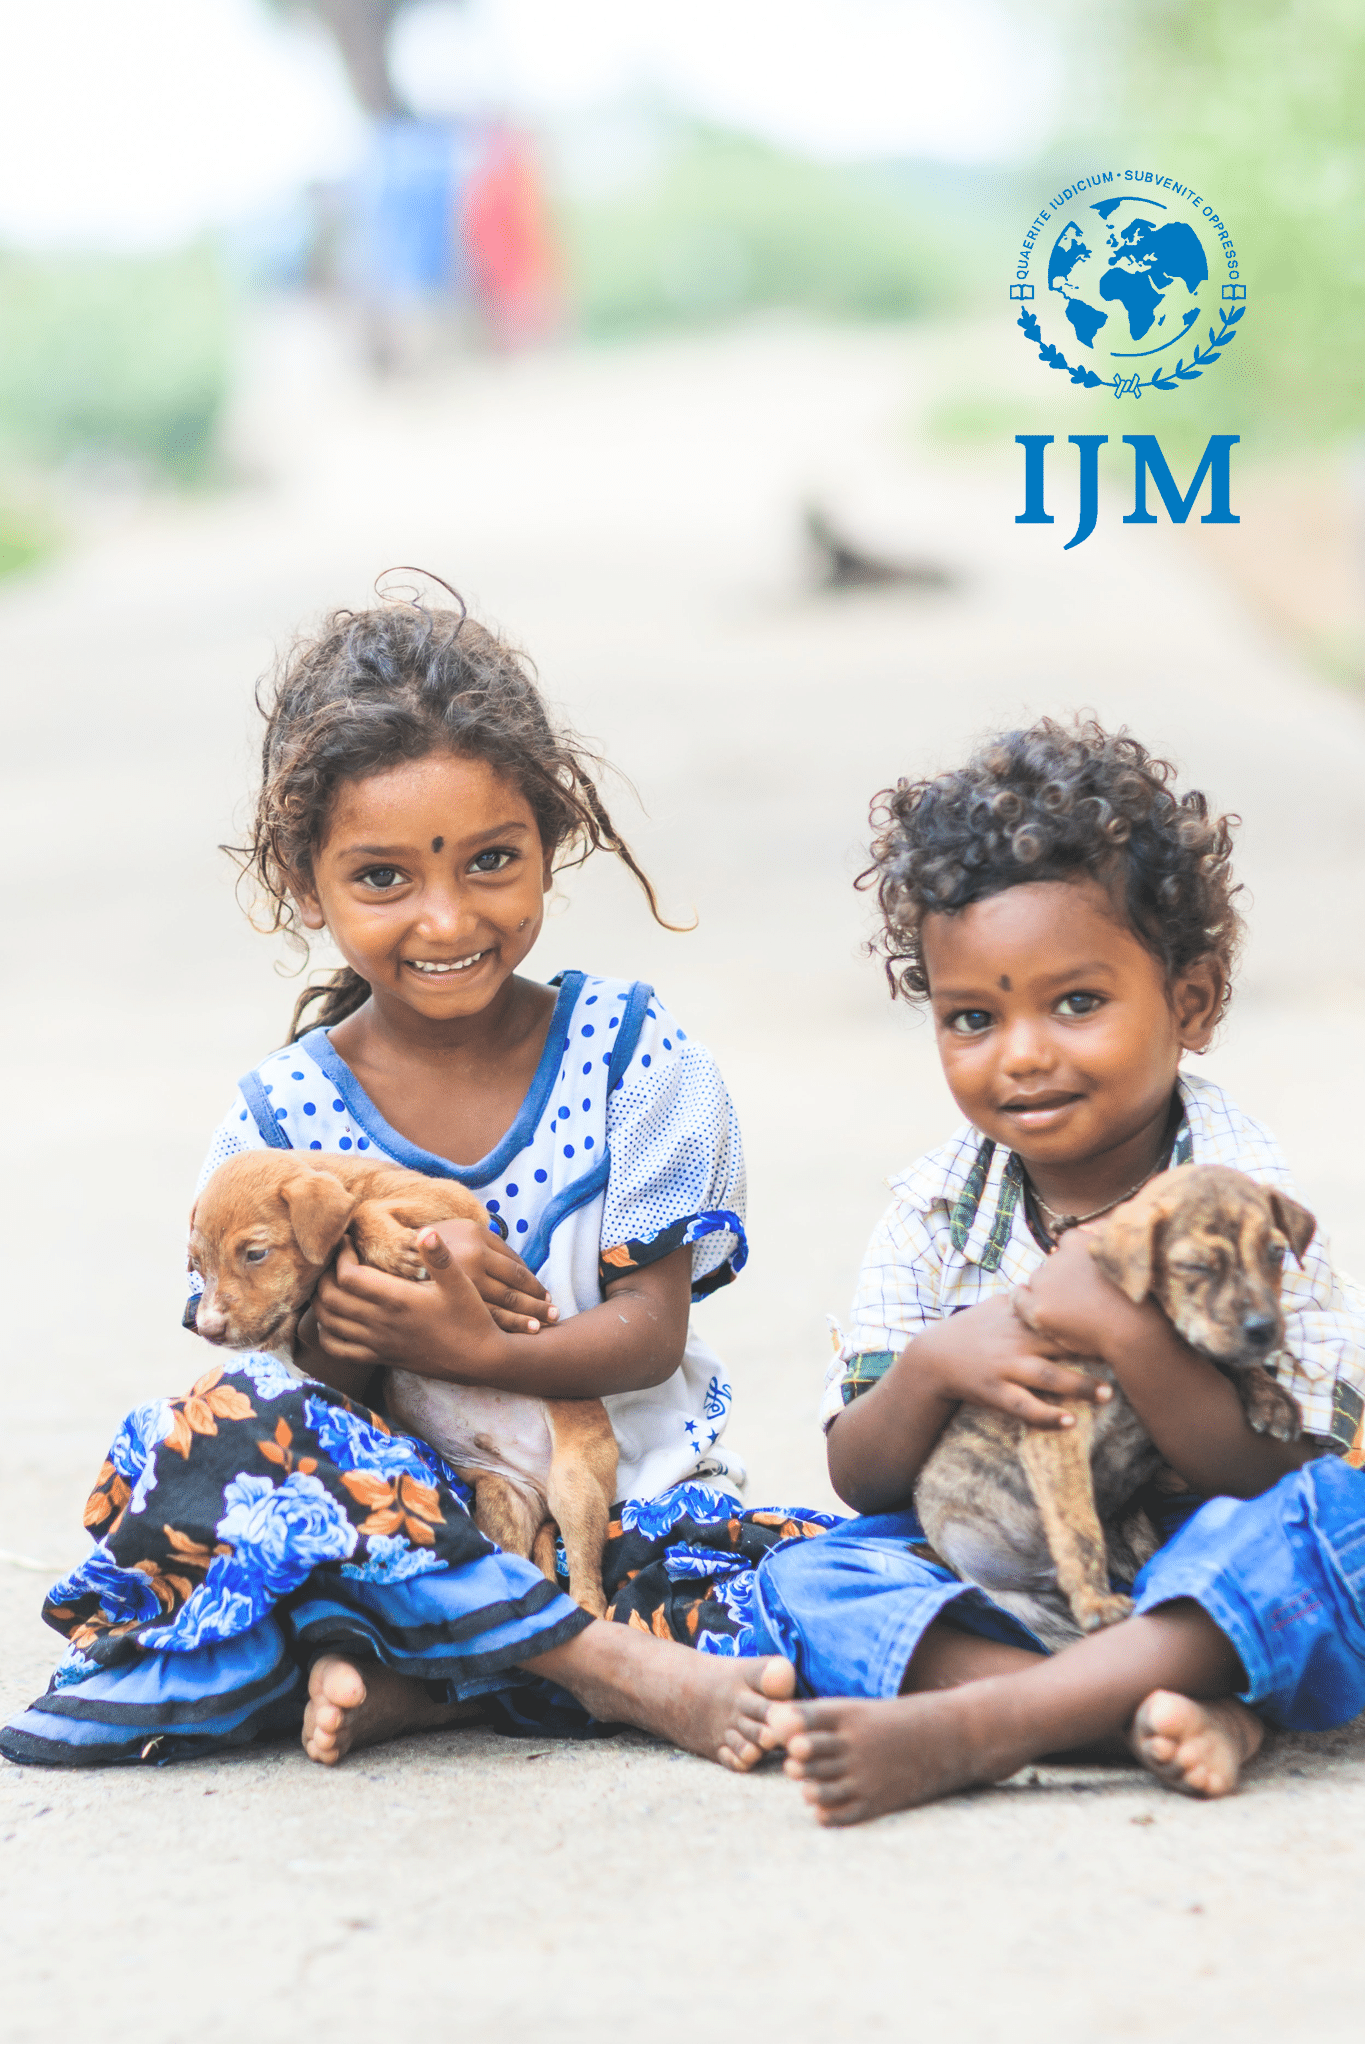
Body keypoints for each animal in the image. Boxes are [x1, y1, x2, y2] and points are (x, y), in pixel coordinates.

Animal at [187, 1155, 618, 1613]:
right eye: (197, 1267)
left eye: (256, 1254)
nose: (208, 1328)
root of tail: (540, 1487)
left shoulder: (451, 1199)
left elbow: (360, 1209)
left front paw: (391, 1247)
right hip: (504, 1500)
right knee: (527, 1565)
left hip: (575, 1484)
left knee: (590, 1588)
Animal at [912, 1171, 1317, 1646]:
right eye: (1194, 1267)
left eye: (1276, 1253)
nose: (1264, 1330)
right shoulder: (1059, 1427)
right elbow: (1077, 1525)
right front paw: (1095, 1602)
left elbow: (1223, 1359)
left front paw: (1272, 1398)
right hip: (1024, 1604)